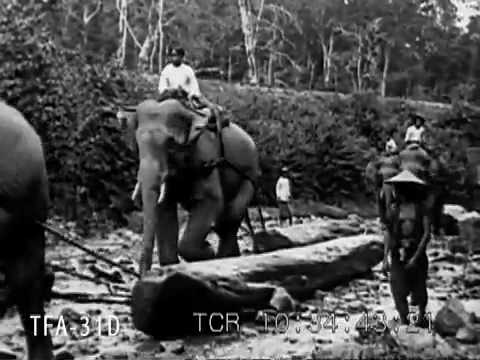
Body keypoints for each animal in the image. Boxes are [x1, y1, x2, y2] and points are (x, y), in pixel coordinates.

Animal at [117, 96, 258, 276]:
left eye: (170, 144)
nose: (143, 275)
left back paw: (223, 258)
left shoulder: (206, 158)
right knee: (223, 224)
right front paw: (171, 267)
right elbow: (164, 208)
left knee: (229, 219)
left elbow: (211, 200)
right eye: (138, 145)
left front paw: (207, 252)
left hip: (249, 177)